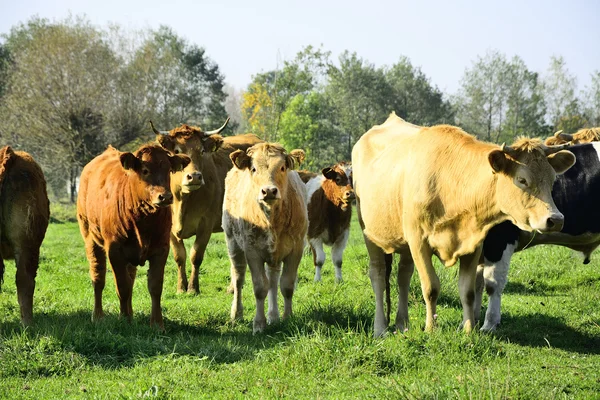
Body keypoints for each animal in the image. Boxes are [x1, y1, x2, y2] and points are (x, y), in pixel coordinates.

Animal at [77, 143, 190, 328]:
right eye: (145, 170)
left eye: (168, 169)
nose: (165, 196)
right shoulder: (115, 251)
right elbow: (121, 286)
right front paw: (124, 320)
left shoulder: (161, 249)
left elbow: (154, 287)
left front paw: (157, 324)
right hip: (90, 239)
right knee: (98, 278)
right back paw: (98, 316)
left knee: (130, 278)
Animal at [151, 119, 262, 294]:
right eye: (177, 151)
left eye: (202, 151)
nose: (195, 176)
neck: (182, 200)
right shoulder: (169, 229)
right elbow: (179, 256)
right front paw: (181, 287)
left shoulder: (206, 224)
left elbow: (196, 256)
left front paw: (193, 288)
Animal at [224, 142, 310, 332]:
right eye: (254, 168)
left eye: (283, 167)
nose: (269, 191)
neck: (272, 219)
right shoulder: (252, 251)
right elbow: (259, 287)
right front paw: (259, 324)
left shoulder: (296, 249)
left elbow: (286, 285)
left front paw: (286, 318)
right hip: (232, 242)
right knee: (239, 277)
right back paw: (236, 314)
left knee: (273, 279)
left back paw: (273, 316)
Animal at [352, 112, 576, 338]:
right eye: (521, 180)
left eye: (552, 179)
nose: (556, 219)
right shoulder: (419, 241)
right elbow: (431, 288)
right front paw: (431, 329)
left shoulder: (473, 243)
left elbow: (467, 291)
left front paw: (469, 329)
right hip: (370, 234)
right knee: (379, 276)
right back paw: (380, 328)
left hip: (404, 242)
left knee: (403, 276)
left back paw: (402, 324)